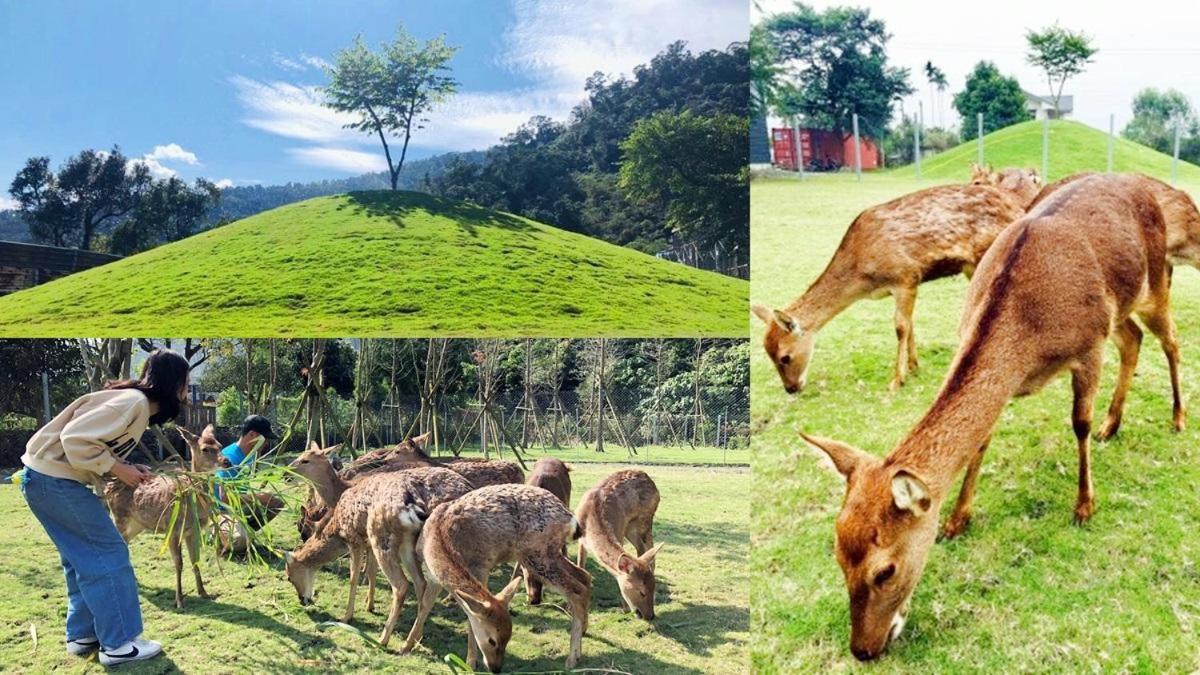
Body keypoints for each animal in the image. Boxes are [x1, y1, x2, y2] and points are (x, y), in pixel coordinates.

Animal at [103, 422, 223, 607]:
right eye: (205, 449)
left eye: (220, 445)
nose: (226, 461)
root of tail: (107, 488)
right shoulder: (173, 529)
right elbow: (179, 563)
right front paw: (179, 600)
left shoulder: (193, 531)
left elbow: (195, 560)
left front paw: (204, 593)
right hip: (118, 517)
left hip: (138, 524)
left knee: (126, 543)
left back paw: (135, 581)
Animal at [403, 482, 590, 667]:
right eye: (493, 640)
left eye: (507, 638)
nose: (496, 668)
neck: (438, 538)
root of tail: (571, 519)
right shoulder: (433, 576)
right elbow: (424, 605)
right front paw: (406, 646)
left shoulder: (481, 566)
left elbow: (469, 615)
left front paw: (470, 662)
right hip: (547, 553)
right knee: (584, 576)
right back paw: (583, 632)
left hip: (537, 555)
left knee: (576, 589)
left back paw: (572, 658)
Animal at [573, 468, 662, 619]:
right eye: (642, 592)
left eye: (654, 587)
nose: (650, 616)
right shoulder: (580, 540)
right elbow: (581, 566)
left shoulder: (619, 533)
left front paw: (624, 609)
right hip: (631, 528)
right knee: (641, 549)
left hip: (645, 520)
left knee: (648, 549)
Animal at [748, 164, 1041, 391]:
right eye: (767, 352)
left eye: (784, 357)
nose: (791, 388)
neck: (864, 274)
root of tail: (1019, 209)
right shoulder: (903, 286)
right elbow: (909, 324)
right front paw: (913, 367)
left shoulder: (905, 275)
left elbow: (900, 326)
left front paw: (896, 380)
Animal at [796, 170, 1180, 658]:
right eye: (838, 555)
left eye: (885, 570)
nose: (863, 649)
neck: (1028, 335)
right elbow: (981, 442)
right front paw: (957, 520)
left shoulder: (1089, 348)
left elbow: (1079, 424)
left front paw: (1084, 506)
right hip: (1125, 309)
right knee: (1133, 340)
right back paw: (1113, 425)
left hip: (1156, 282)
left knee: (1170, 340)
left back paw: (1177, 418)